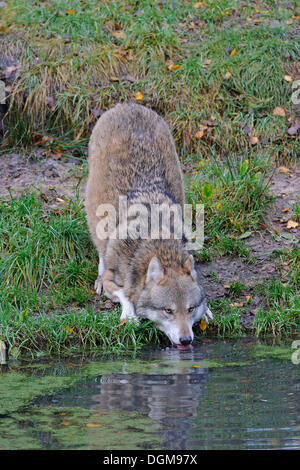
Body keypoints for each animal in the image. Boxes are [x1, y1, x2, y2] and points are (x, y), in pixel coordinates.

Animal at [84, 103, 212, 348]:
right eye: (168, 311)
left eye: (190, 309)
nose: (186, 340)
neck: (156, 242)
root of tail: (127, 104)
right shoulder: (115, 278)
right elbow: (125, 294)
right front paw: (130, 315)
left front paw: (207, 309)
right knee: (101, 249)